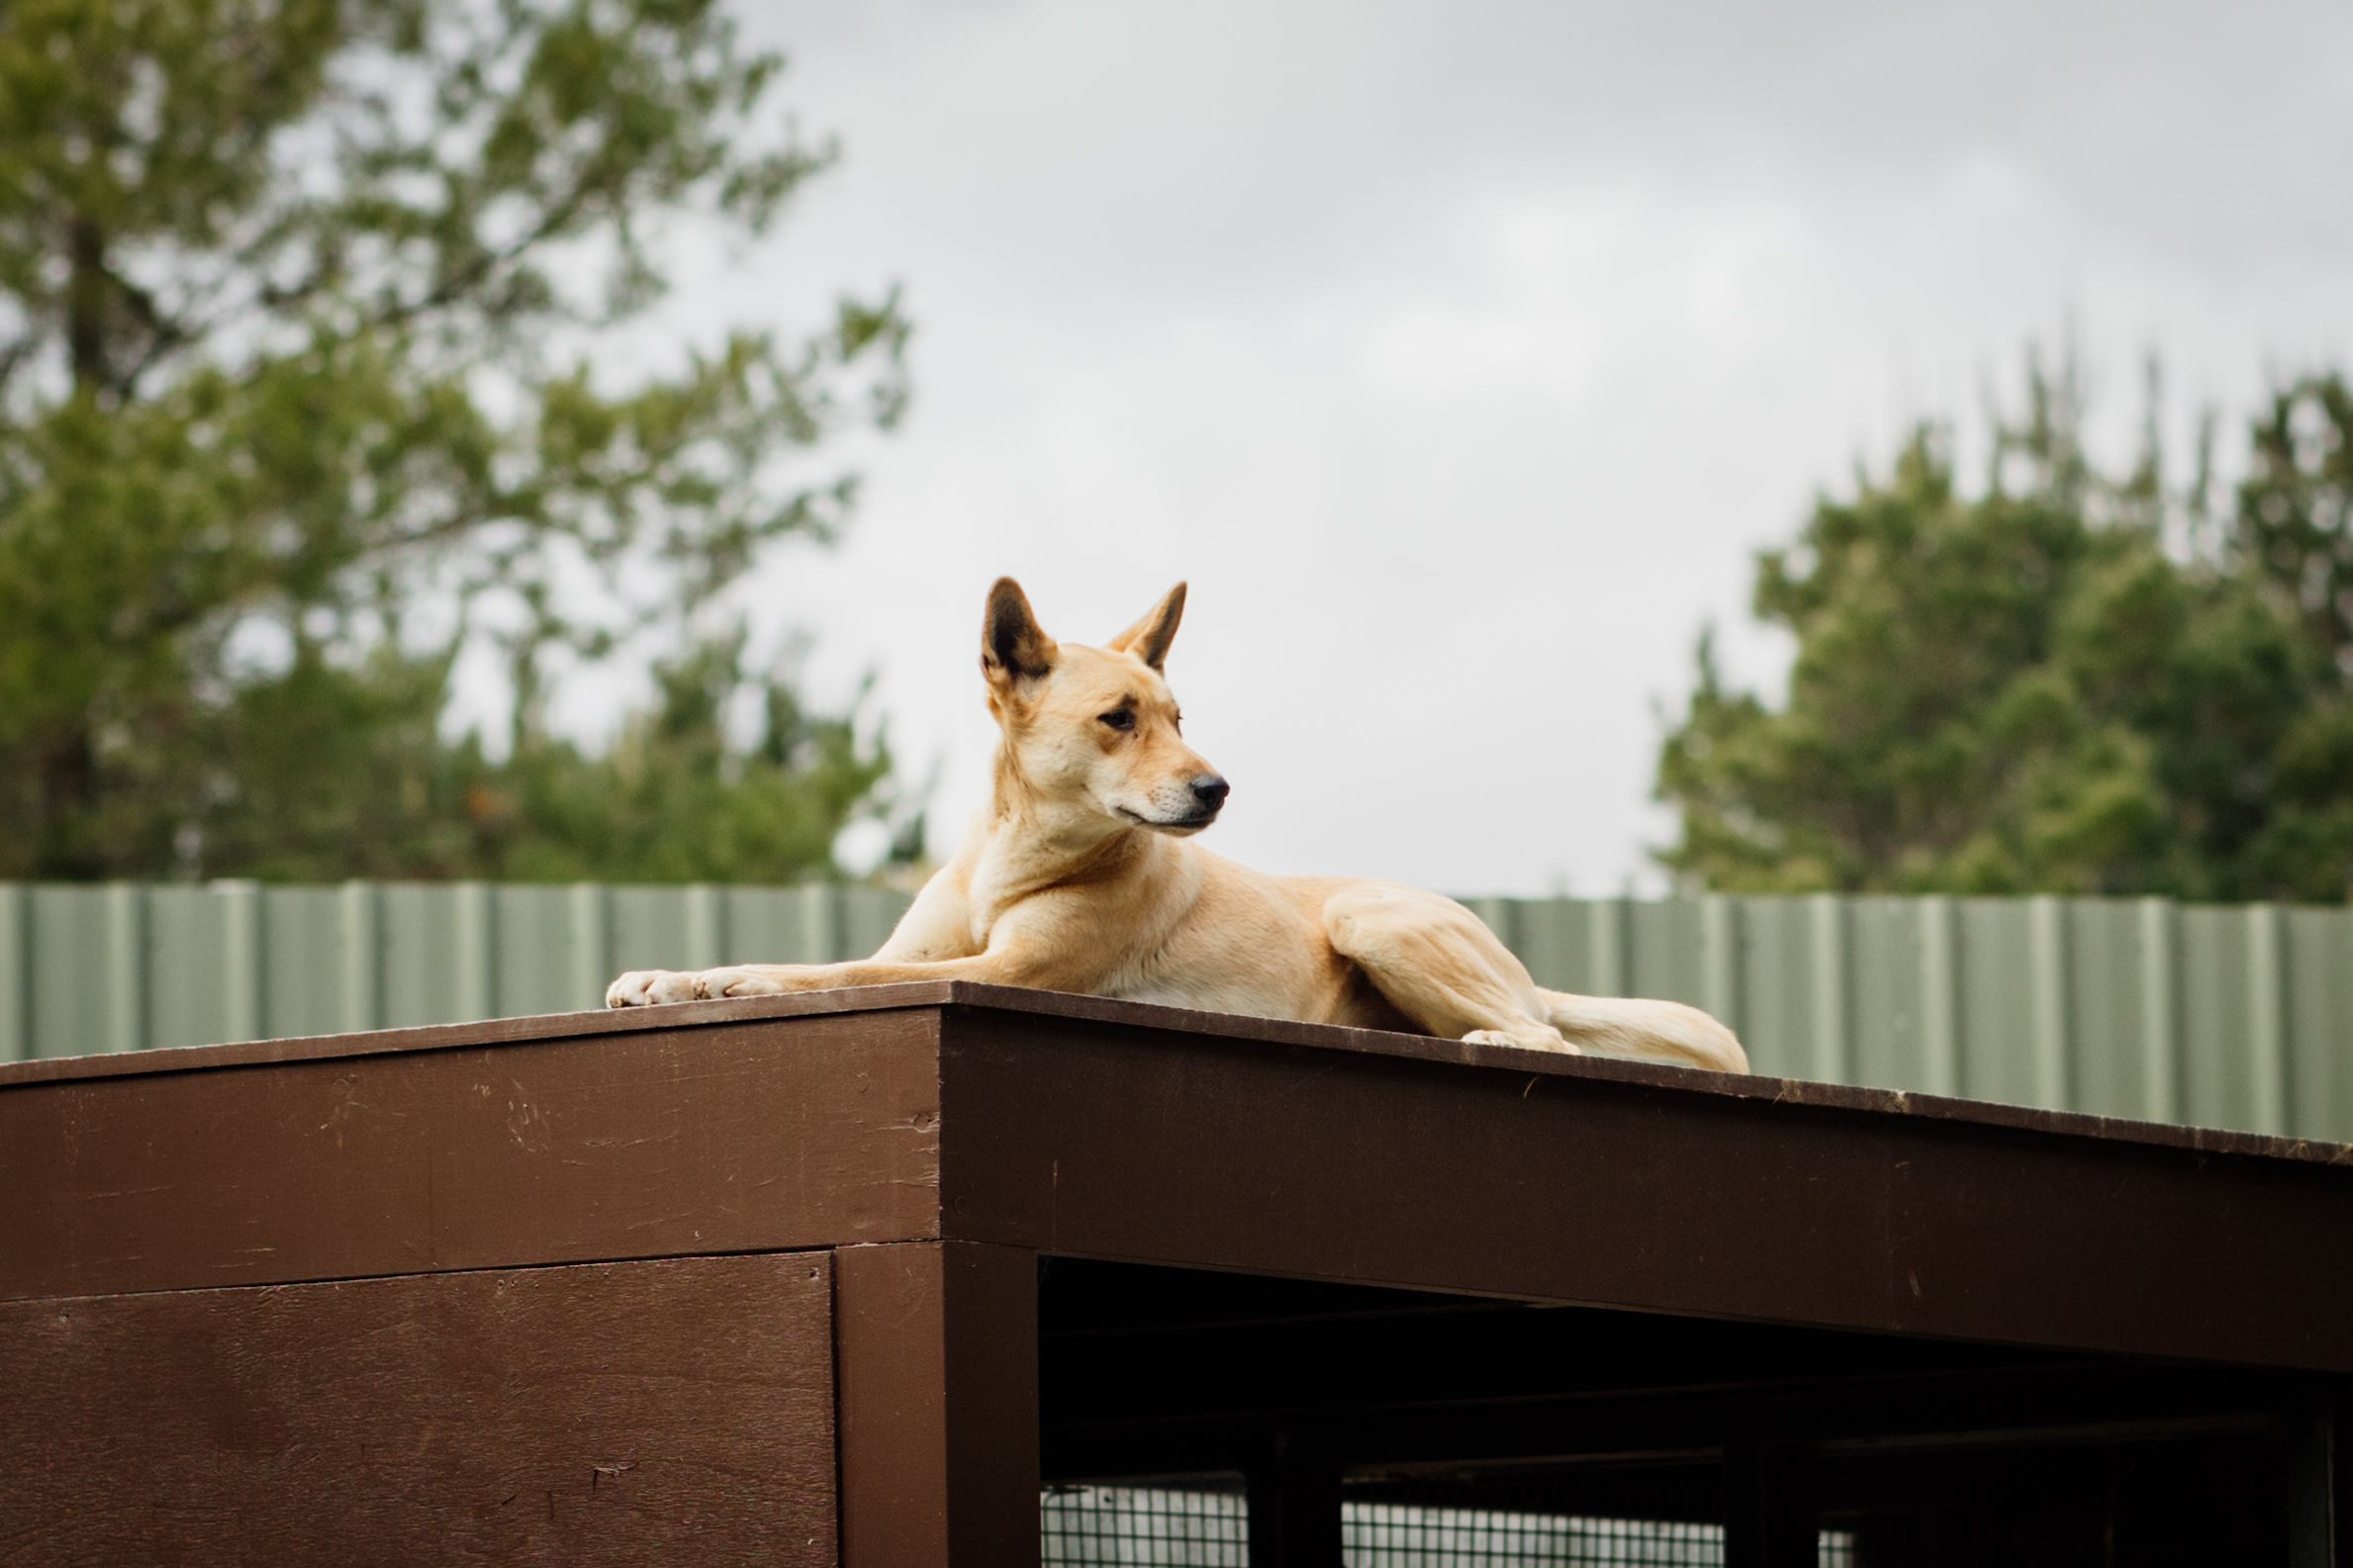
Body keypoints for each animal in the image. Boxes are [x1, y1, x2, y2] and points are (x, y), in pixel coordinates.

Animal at [607, 579, 1747, 1072]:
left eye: (1179, 716)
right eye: (1120, 717)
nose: (1217, 790)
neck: (1014, 863)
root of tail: (1521, 968)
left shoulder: (1003, 972)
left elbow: (826, 971)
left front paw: (726, 979)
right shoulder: (921, 953)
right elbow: (842, 960)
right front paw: (668, 976)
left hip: (1374, 918)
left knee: (1540, 1032)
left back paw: (1482, 1030)